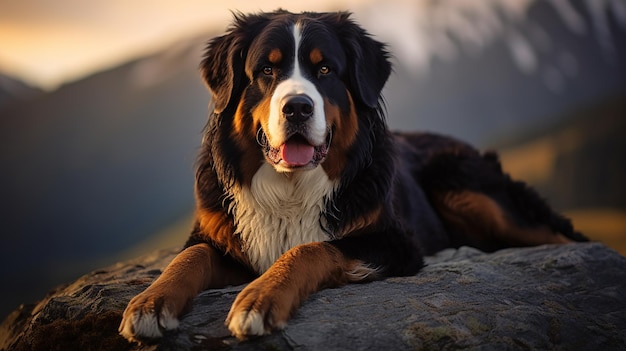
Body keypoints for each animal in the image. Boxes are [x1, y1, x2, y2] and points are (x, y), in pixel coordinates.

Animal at [118, 10, 584, 344]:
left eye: (325, 70)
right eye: (266, 71)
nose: (298, 108)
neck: (291, 189)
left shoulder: (393, 242)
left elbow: (311, 249)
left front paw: (260, 298)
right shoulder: (224, 238)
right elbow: (189, 257)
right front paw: (150, 302)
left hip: (464, 186)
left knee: (559, 238)